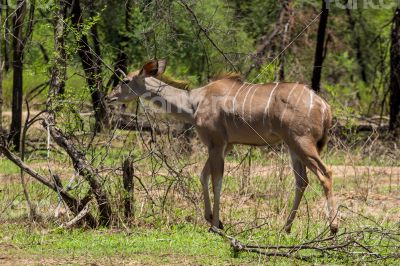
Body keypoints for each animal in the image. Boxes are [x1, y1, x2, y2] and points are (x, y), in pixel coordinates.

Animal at [106, 59, 338, 234]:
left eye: (125, 80)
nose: (109, 97)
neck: (194, 102)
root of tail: (324, 106)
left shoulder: (217, 143)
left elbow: (216, 180)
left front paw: (216, 225)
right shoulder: (225, 145)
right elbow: (203, 175)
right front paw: (213, 219)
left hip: (302, 142)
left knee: (325, 173)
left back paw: (333, 227)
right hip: (292, 146)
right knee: (302, 181)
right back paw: (286, 228)